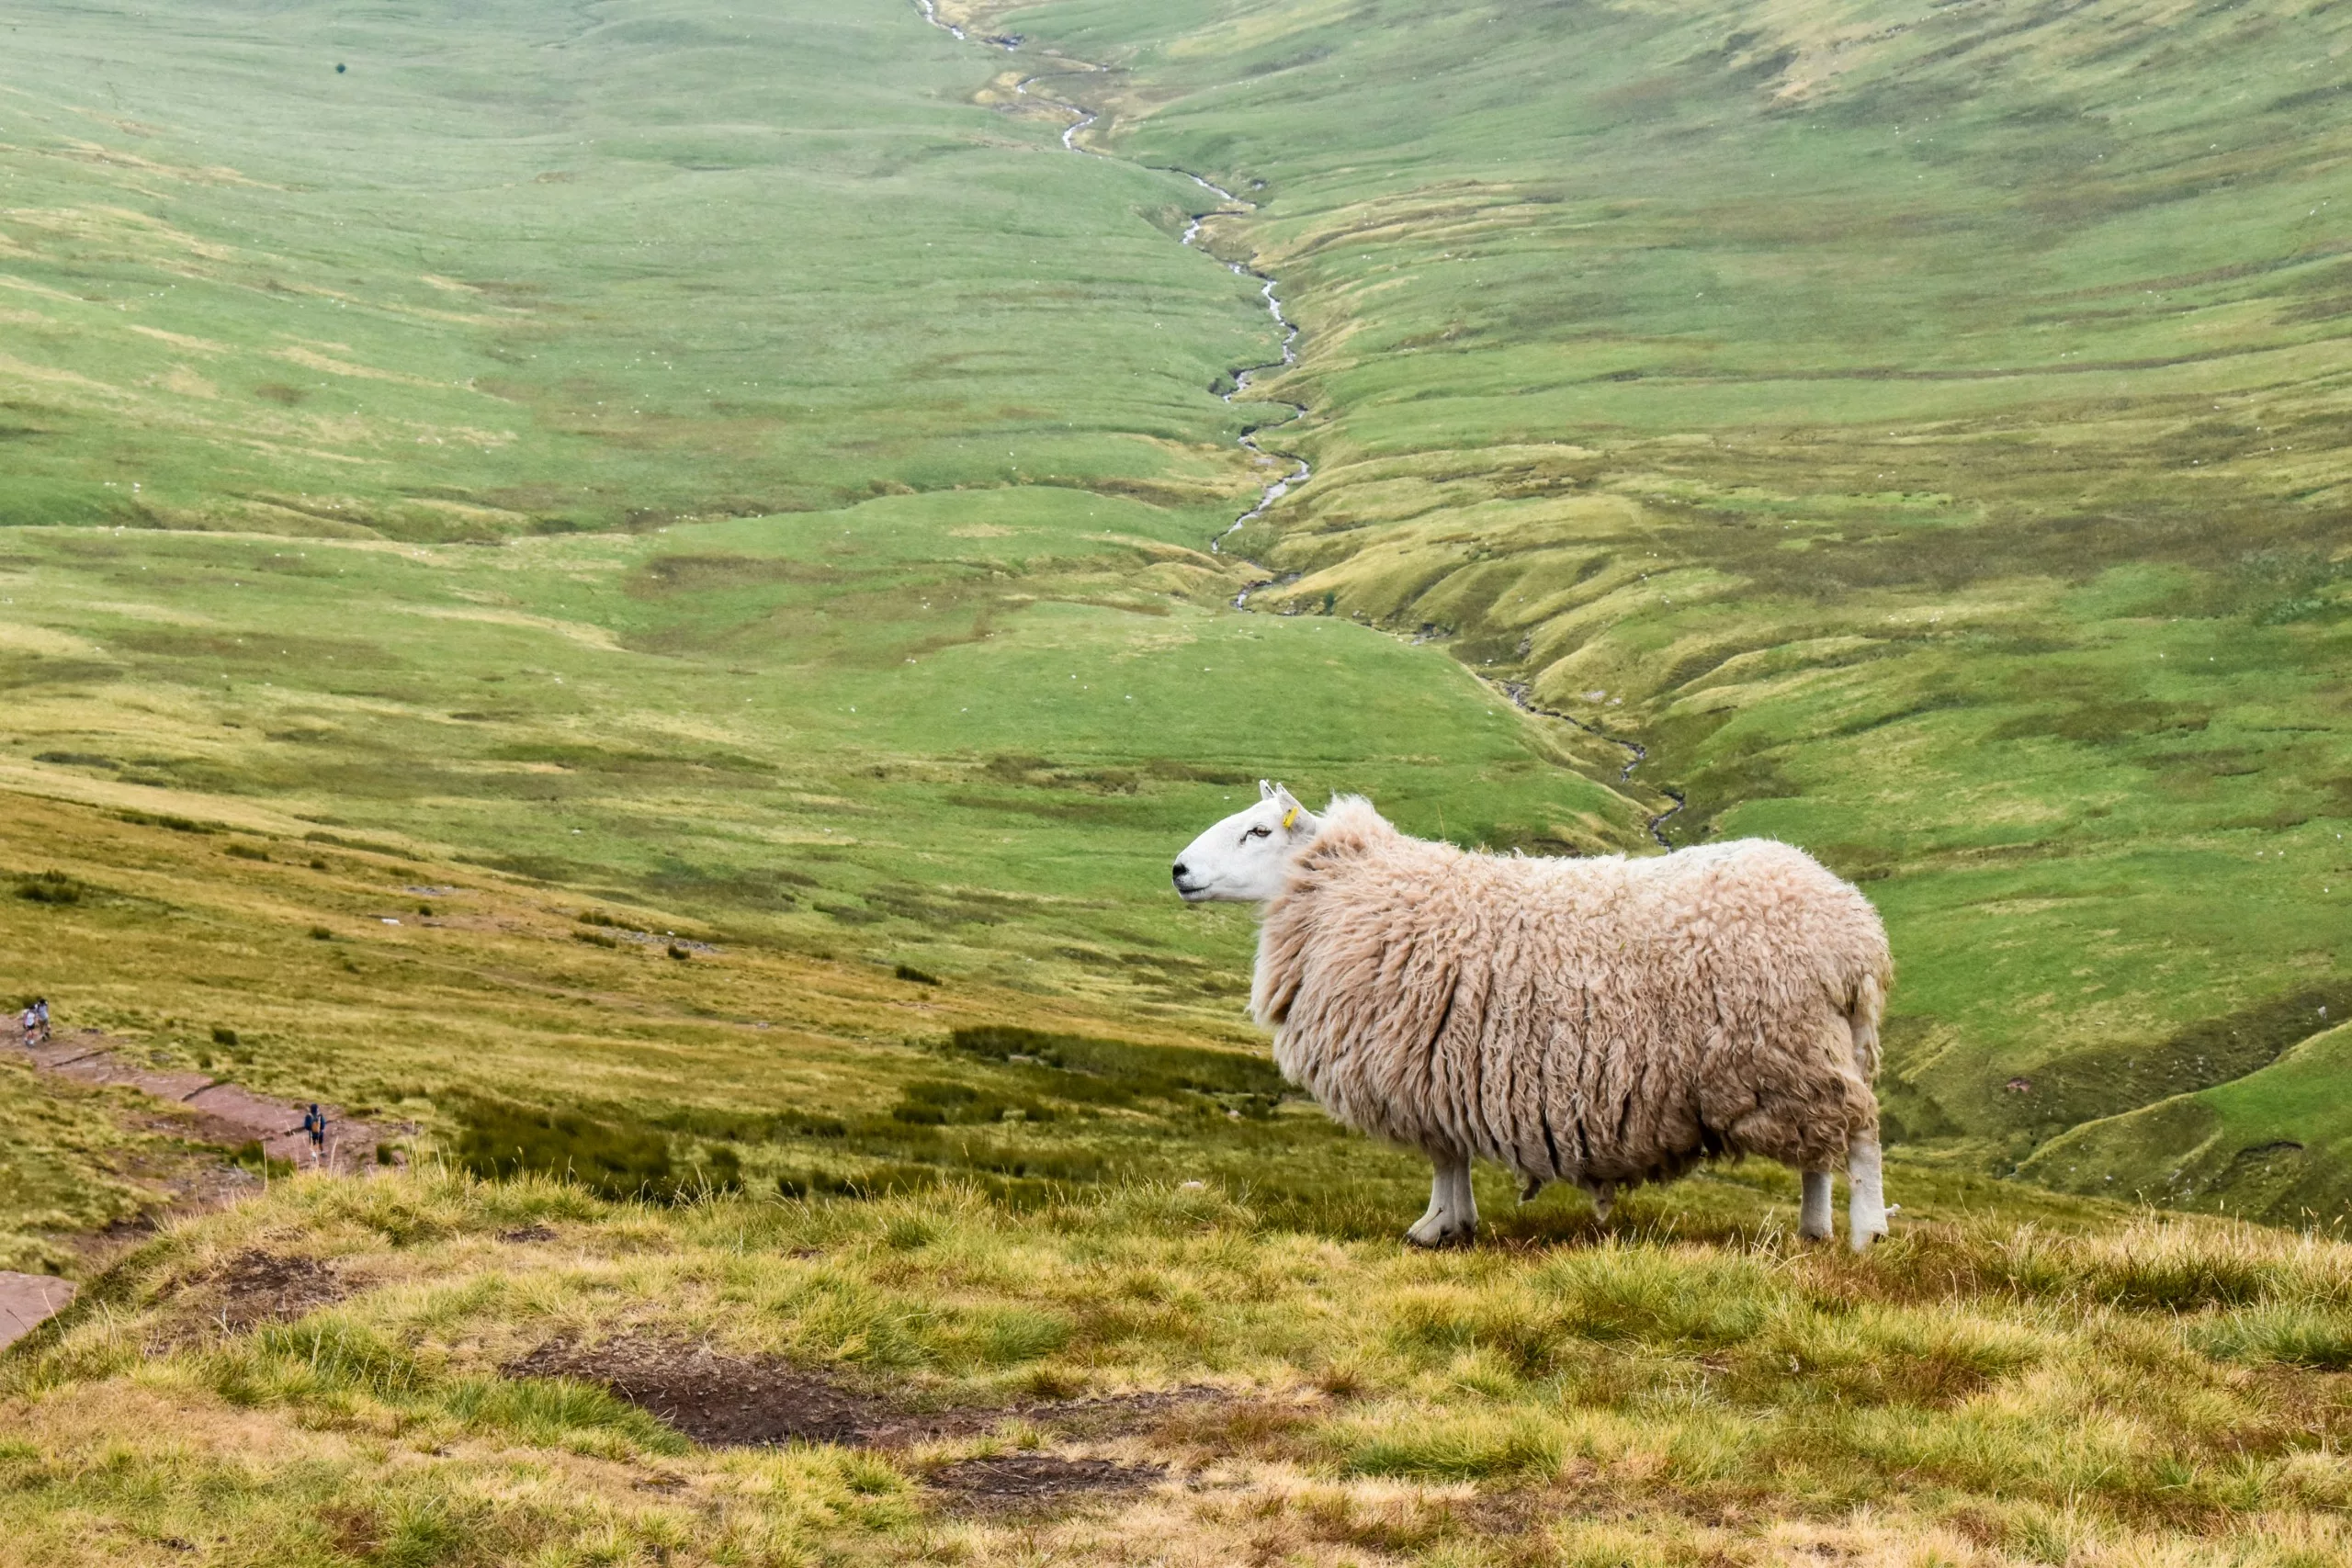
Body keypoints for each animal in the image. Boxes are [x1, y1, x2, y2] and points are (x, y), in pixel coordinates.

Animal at [1171, 783, 1893, 1250]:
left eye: (1259, 831)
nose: (1177, 869)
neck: (1343, 891)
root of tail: (1855, 928)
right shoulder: (1442, 1066)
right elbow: (1452, 1156)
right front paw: (1455, 1222)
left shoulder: (1417, 1059)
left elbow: (1442, 1156)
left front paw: (1434, 1227)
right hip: (1810, 1055)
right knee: (1821, 1151)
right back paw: (1813, 1230)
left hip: (1791, 1050)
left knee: (1860, 1137)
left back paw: (1866, 1234)